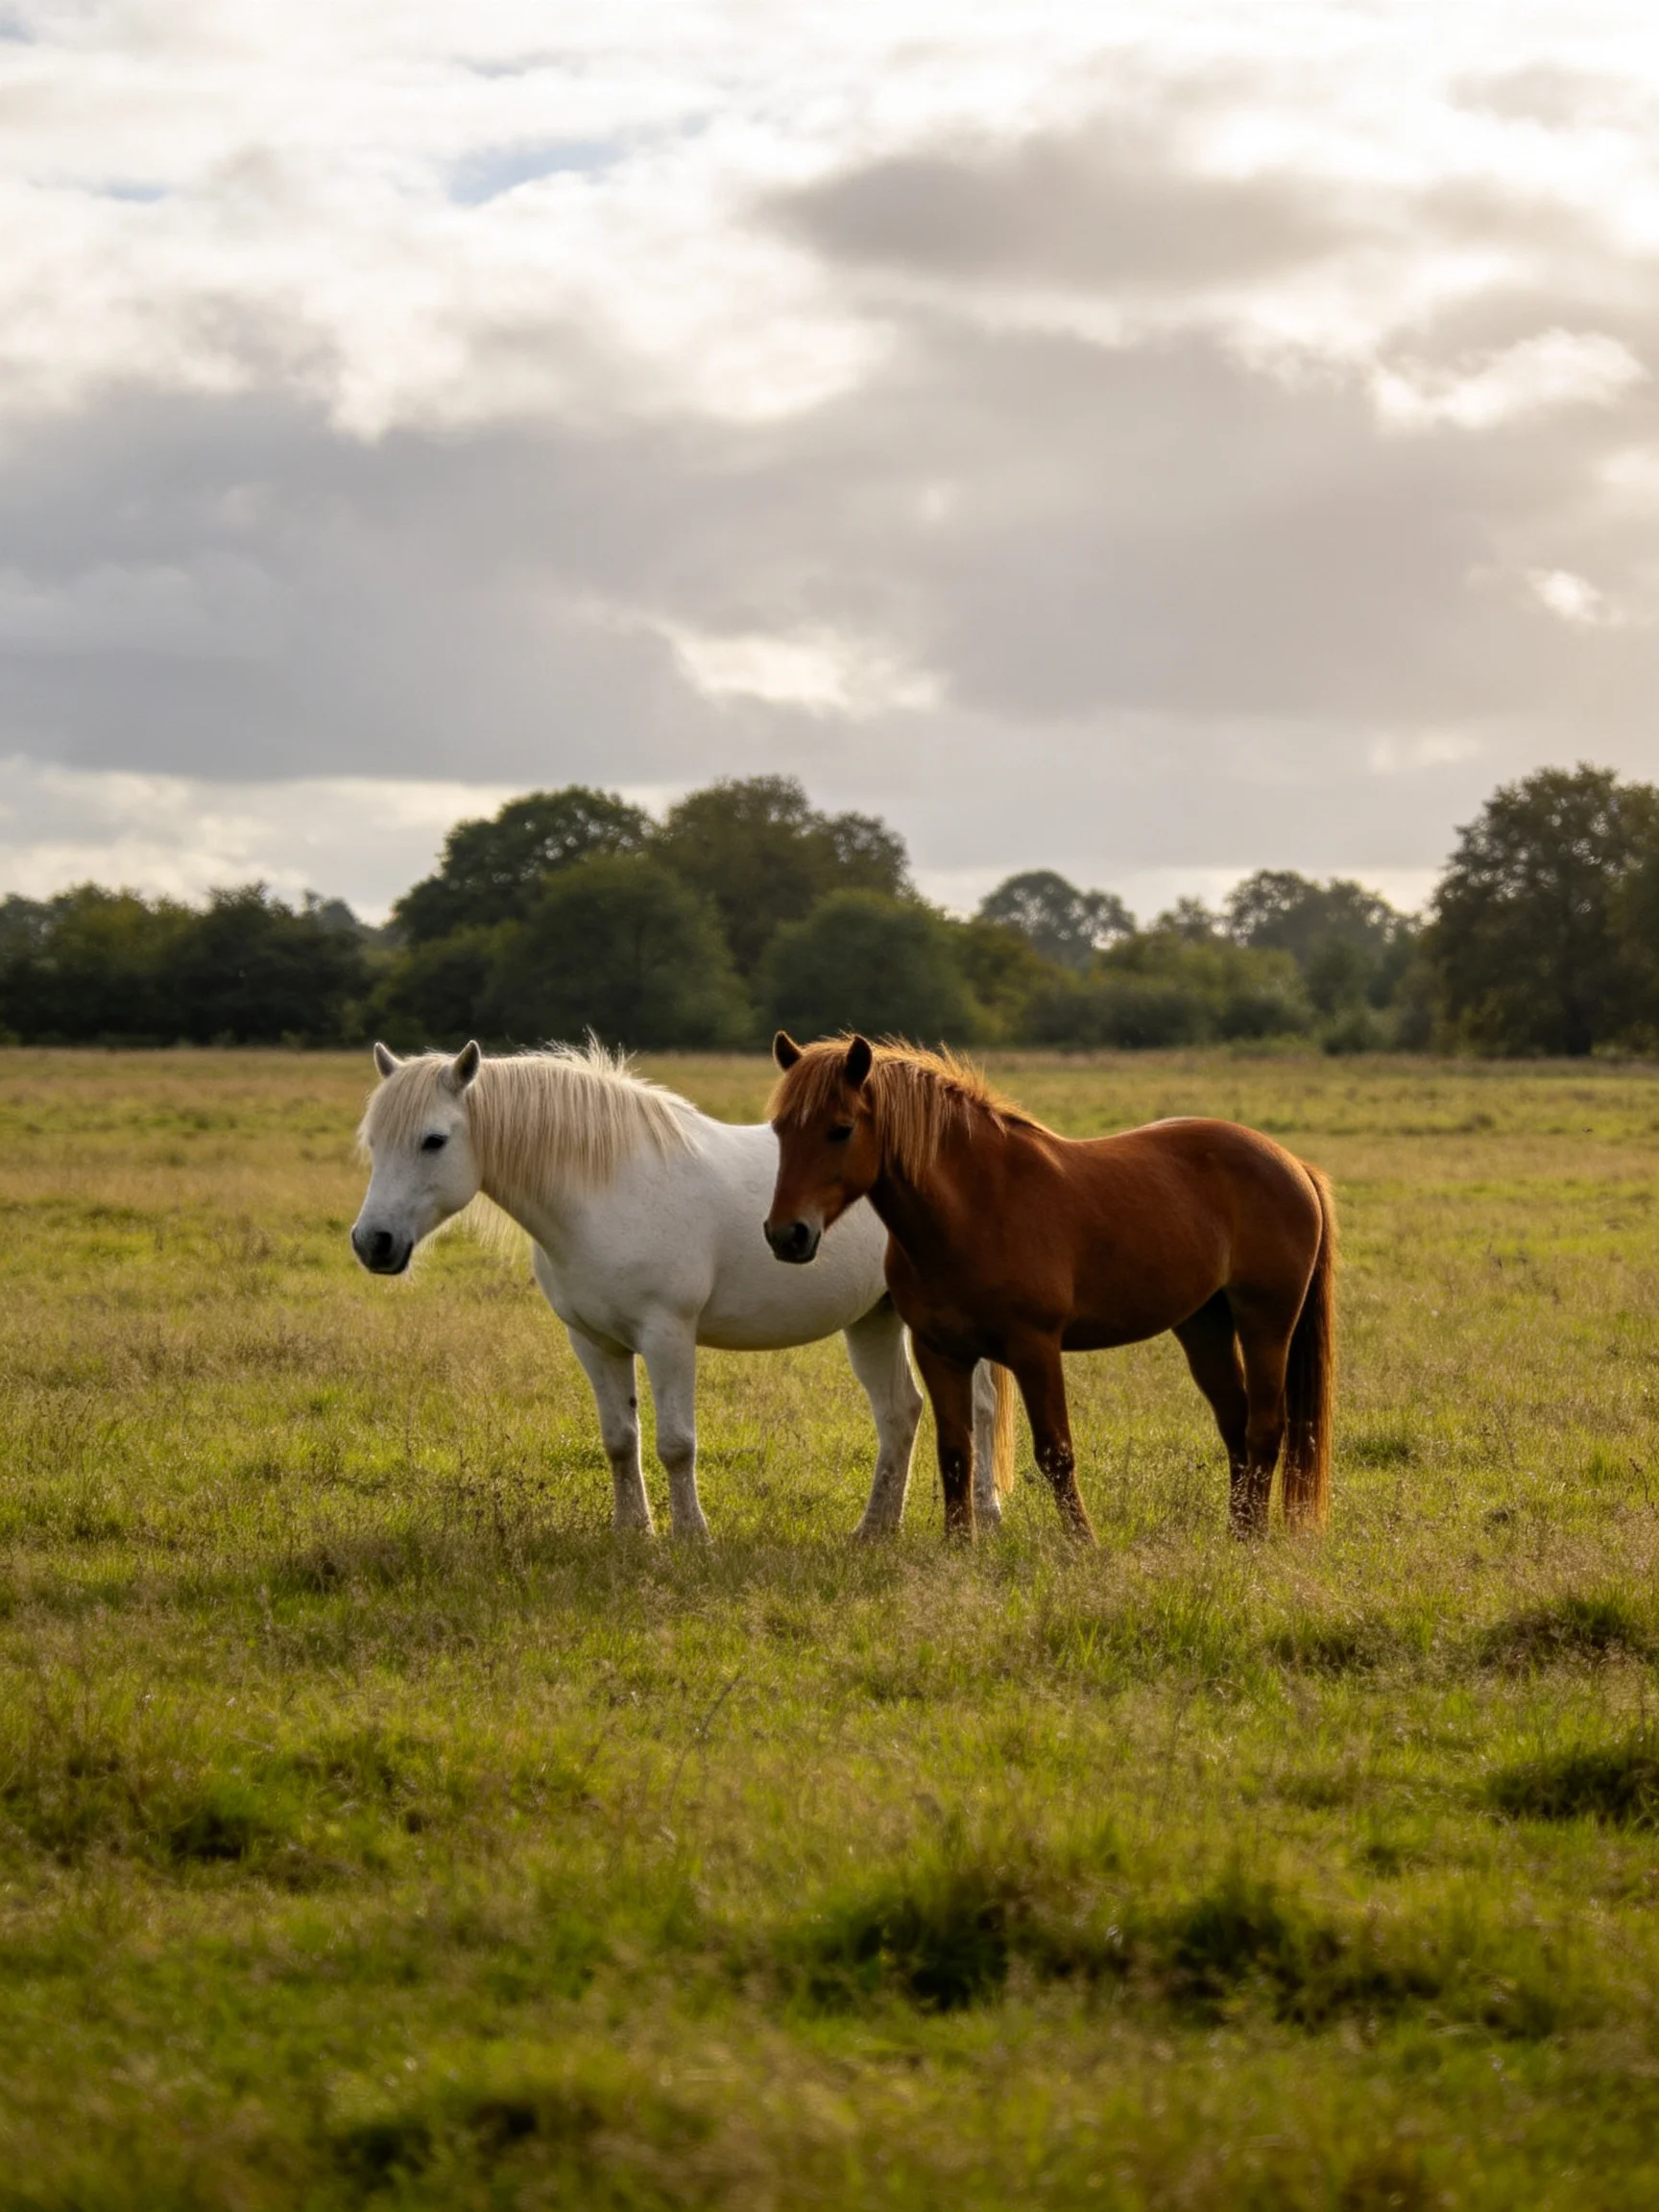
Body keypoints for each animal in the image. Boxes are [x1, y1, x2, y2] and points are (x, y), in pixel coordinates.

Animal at [351, 1039, 1014, 1540]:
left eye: (434, 1140)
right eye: (373, 1142)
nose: (372, 1242)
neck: (606, 1190)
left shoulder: (667, 1335)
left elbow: (675, 1443)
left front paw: (692, 1536)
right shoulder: (593, 1342)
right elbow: (620, 1440)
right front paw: (632, 1533)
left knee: (976, 1406)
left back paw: (986, 1515)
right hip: (873, 1319)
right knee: (900, 1412)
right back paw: (875, 1530)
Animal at [763, 1033, 1336, 1542]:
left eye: (840, 1130)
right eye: (780, 1131)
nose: (786, 1234)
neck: (978, 1207)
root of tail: (1292, 1164)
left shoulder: (1035, 1348)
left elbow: (1055, 1452)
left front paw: (1082, 1544)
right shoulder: (939, 1352)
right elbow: (955, 1452)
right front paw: (958, 1546)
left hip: (1266, 1322)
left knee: (1265, 1426)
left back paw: (1253, 1537)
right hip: (1203, 1326)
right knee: (1235, 1423)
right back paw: (1235, 1532)